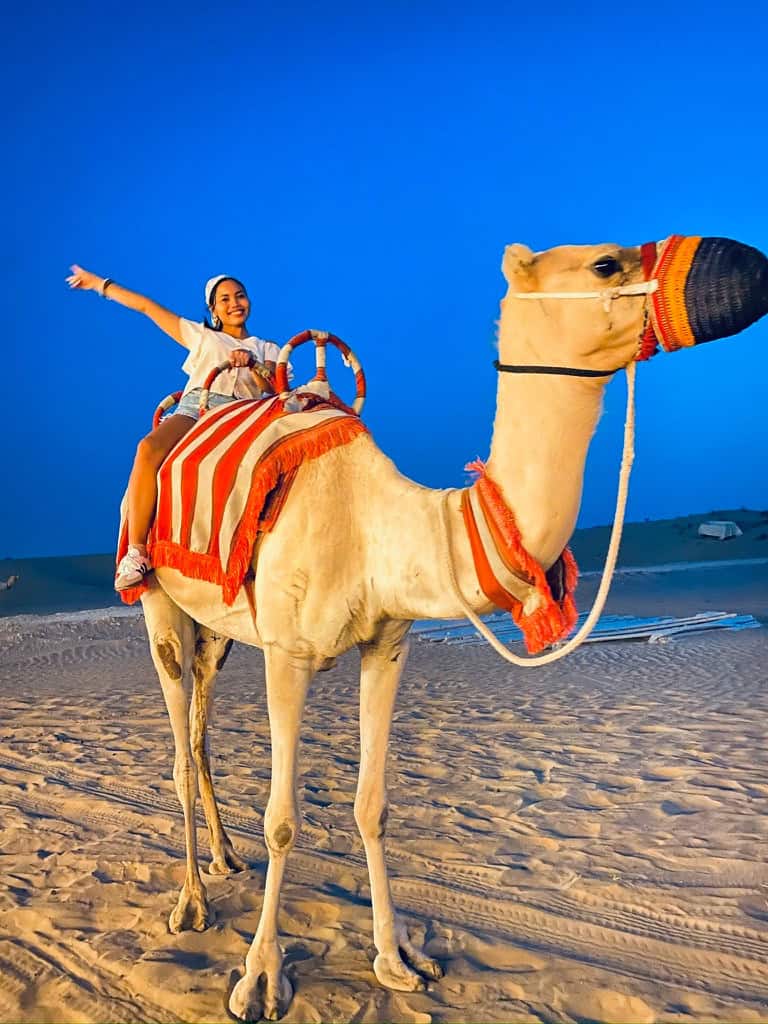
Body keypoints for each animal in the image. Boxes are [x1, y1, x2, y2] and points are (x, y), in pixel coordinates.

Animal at [137, 234, 768, 1021]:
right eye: (606, 264)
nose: (749, 266)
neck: (378, 525)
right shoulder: (288, 652)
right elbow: (282, 820)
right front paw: (260, 978)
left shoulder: (387, 644)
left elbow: (373, 805)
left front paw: (397, 958)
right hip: (162, 607)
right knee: (179, 746)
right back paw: (191, 901)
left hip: (219, 630)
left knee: (199, 733)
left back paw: (225, 858)